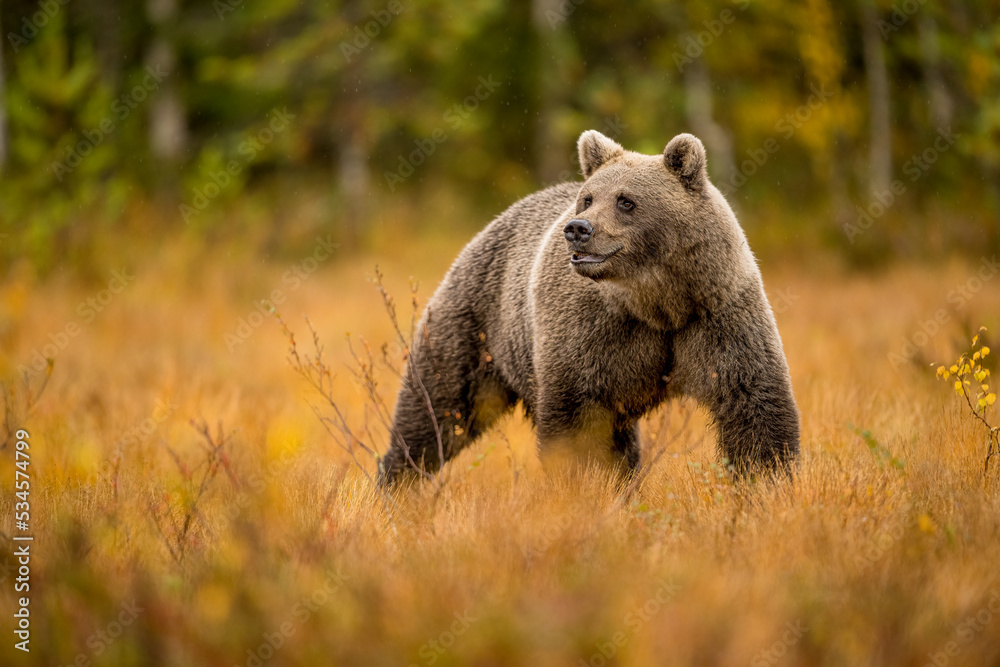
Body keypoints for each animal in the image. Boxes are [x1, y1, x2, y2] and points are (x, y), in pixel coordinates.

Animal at [377, 130, 800, 486]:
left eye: (626, 201)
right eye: (589, 198)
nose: (578, 228)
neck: (657, 302)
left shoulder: (717, 311)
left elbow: (752, 402)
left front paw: (768, 482)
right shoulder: (591, 331)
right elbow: (576, 422)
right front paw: (582, 486)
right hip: (477, 321)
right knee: (438, 406)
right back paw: (399, 479)